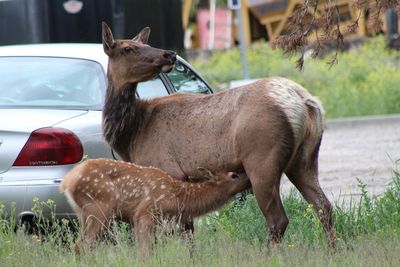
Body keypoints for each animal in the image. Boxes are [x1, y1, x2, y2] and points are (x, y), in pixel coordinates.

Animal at [59, 159, 248, 258]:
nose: (248, 177)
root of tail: (67, 181)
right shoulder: (145, 212)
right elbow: (144, 251)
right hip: (99, 207)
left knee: (80, 245)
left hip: (83, 213)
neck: (177, 197)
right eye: (234, 175)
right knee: (84, 245)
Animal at [100, 22, 334, 247]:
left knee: (278, 220)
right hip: (304, 160)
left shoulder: (168, 170)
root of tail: (306, 102)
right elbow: (188, 231)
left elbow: (177, 231)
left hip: (262, 162)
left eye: (142, 44)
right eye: (128, 48)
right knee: (324, 207)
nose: (170, 54)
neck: (131, 135)